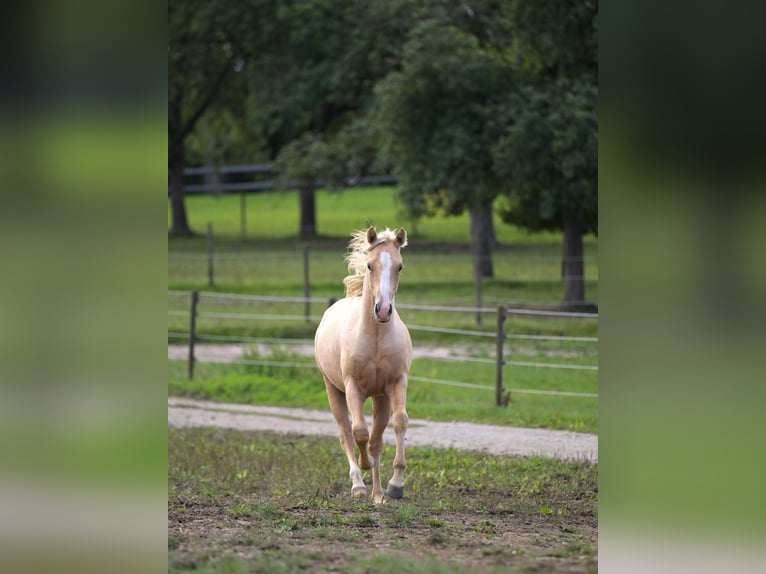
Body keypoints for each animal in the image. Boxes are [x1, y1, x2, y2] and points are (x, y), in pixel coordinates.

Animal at [316, 227, 414, 506]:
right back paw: (359, 485)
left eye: (400, 266)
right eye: (370, 265)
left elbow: (399, 423)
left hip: (380, 398)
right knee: (346, 434)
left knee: (377, 439)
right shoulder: (353, 387)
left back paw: (378, 494)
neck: (376, 337)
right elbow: (359, 432)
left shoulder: (396, 383)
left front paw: (395, 485)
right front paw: (365, 466)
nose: (383, 310)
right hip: (333, 390)